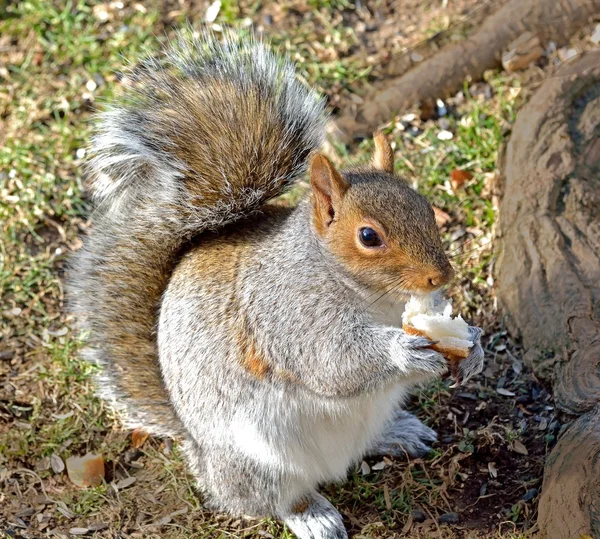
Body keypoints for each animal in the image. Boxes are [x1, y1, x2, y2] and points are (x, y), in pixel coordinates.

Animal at [69, 28, 482, 539]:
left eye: (426, 207)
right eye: (369, 236)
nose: (441, 275)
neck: (375, 298)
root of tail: (200, 453)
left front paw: (474, 346)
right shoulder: (286, 311)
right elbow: (331, 361)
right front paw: (403, 351)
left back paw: (398, 432)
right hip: (259, 464)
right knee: (267, 499)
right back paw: (313, 515)